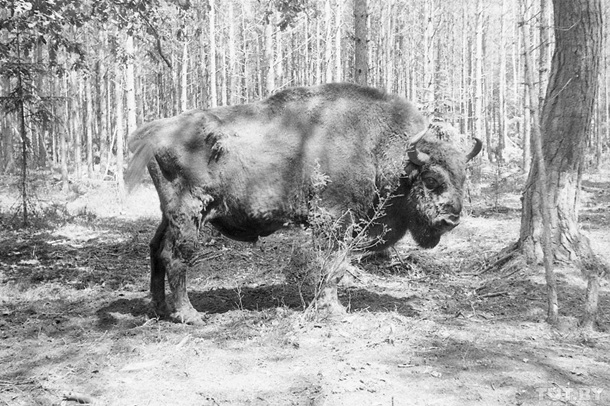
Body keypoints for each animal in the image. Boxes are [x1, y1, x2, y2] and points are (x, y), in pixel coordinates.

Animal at [127, 82, 480, 324]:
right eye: (432, 179)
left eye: (464, 177)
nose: (451, 220)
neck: (378, 146)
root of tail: (156, 130)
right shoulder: (333, 220)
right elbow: (333, 265)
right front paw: (333, 310)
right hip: (189, 213)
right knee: (176, 257)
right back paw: (190, 315)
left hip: (169, 215)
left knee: (156, 249)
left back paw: (160, 308)